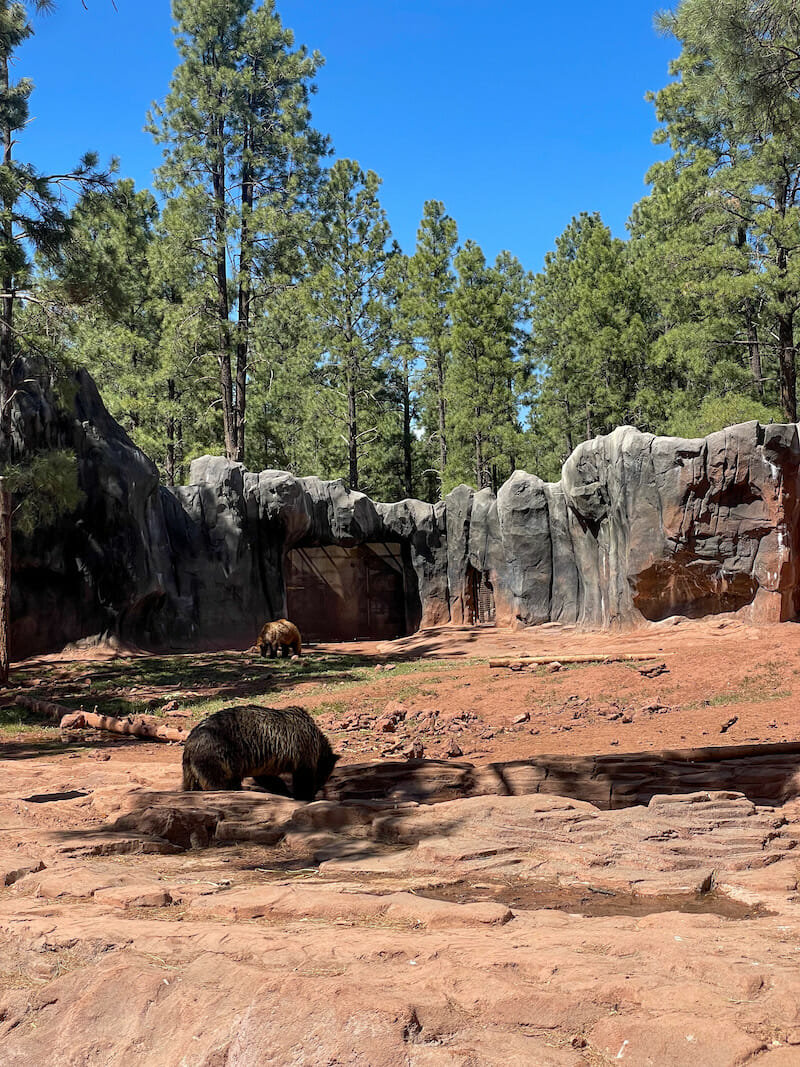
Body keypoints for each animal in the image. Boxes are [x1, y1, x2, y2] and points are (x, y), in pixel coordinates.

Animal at [181, 699, 339, 802]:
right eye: (322, 777)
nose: (318, 789)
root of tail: (189, 744)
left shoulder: (264, 761)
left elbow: (269, 779)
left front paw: (285, 792)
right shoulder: (303, 751)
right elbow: (303, 778)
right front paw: (304, 796)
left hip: (193, 769)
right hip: (219, 755)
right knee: (221, 782)